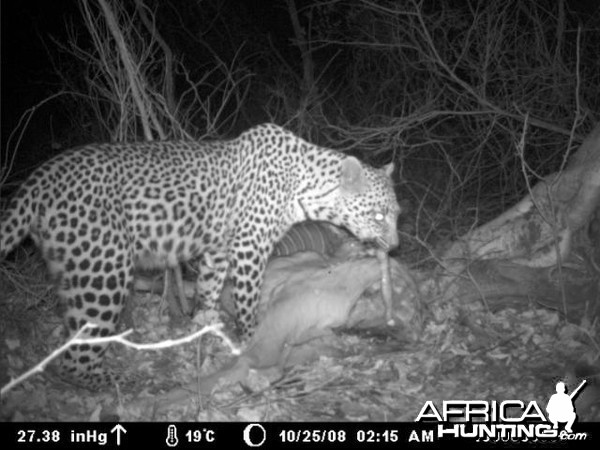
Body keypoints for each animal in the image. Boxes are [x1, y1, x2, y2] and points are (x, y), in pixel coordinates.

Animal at [2, 121, 404, 388]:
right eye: (378, 215)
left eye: (397, 213)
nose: (395, 246)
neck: (304, 186)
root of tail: (39, 178)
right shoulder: (249, 247)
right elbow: (247, 301)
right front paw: (247, 338)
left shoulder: (219, 251)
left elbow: (209, 292)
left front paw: (203, 331)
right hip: (104, 269)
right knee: (78, 352)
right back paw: (113, 382)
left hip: (74, 267)